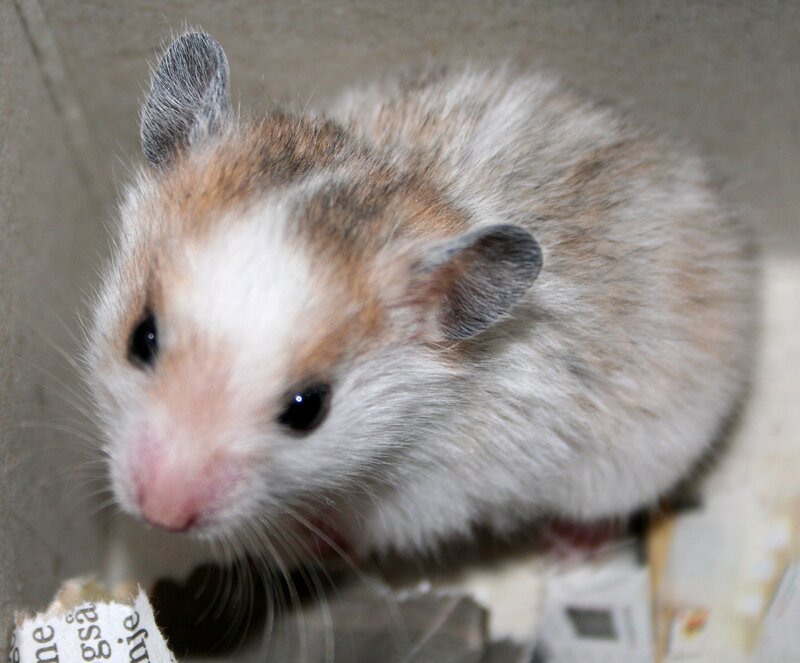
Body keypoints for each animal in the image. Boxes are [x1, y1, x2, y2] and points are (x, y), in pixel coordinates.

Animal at [87, 32, 756, 558]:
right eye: (141, 338)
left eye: (308, 409)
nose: (159, 514)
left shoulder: (429, 497)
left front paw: (312, 539)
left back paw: (570, 547)